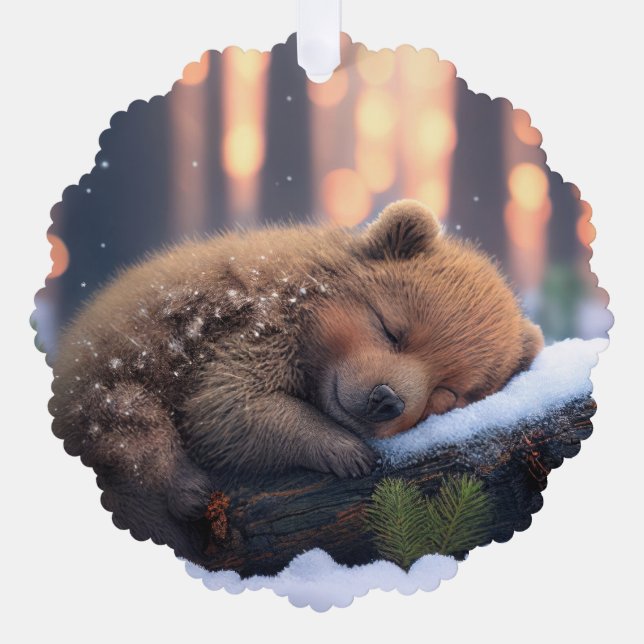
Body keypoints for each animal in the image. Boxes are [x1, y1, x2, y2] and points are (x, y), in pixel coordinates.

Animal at [50, 199, 544, 561]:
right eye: (391, 329)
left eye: (448, 393)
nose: (386, 399)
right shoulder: (257, 325)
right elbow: (226, 405)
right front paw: (344, 450)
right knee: (129, 421)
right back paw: (182, 488)